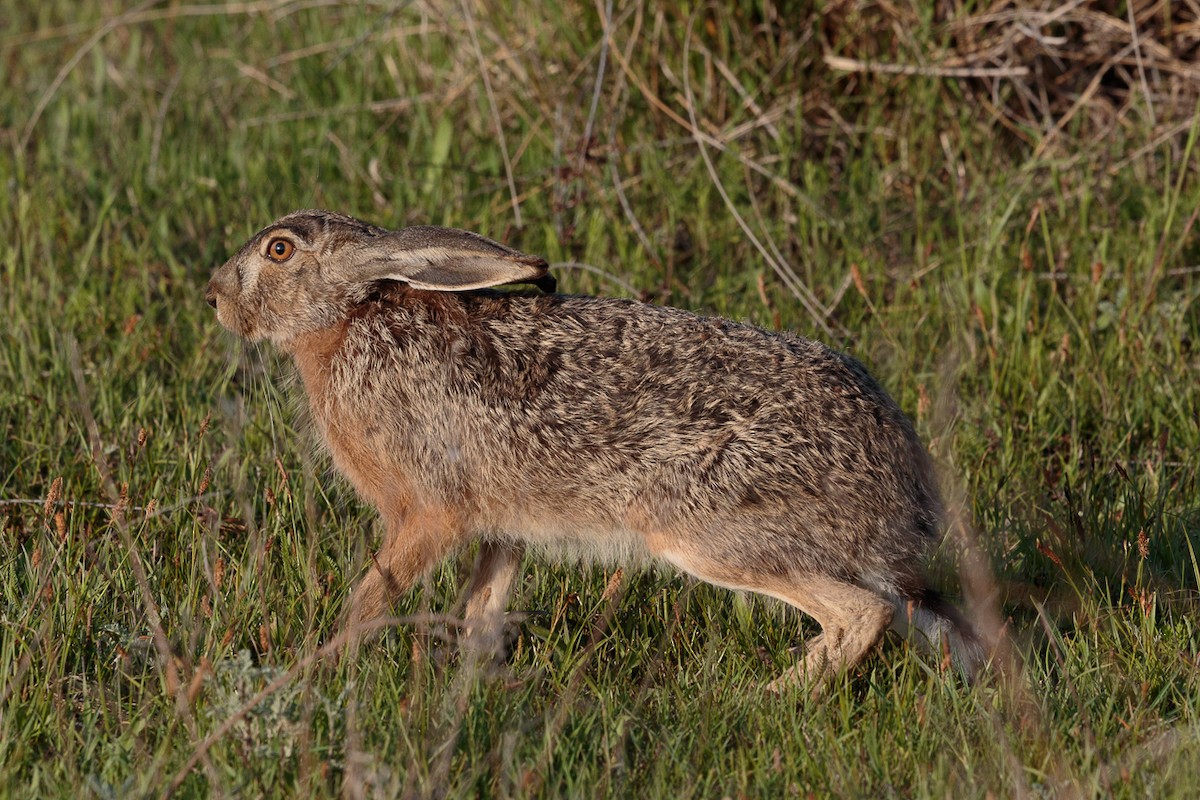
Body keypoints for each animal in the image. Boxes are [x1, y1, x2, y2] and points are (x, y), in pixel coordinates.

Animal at [205, 209, 984, 692]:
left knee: (861, 614)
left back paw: (767, 697)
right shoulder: (502, 528)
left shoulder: (429, 514)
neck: (349, 320)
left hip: (708, 529)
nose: (214, 297)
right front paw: (478, 685)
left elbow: (372, 597)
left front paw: (315, 668)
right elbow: (482, 608)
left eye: (279, 251)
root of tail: (901, 492)